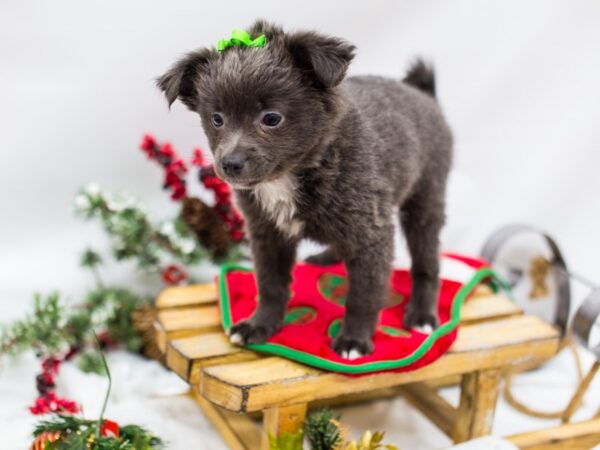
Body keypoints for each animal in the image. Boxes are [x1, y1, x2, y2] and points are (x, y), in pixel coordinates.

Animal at [157, 20, 452, 358]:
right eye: (216, 119)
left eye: (271, 118)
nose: (230, 163)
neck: (294, 173)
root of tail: (422, 94)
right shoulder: (268, 234)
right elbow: (270, 285)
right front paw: (261, 325)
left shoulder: (371, 235)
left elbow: (363, 294)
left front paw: (354, 339)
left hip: (425, 201)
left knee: (427, 264)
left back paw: (422, 314)